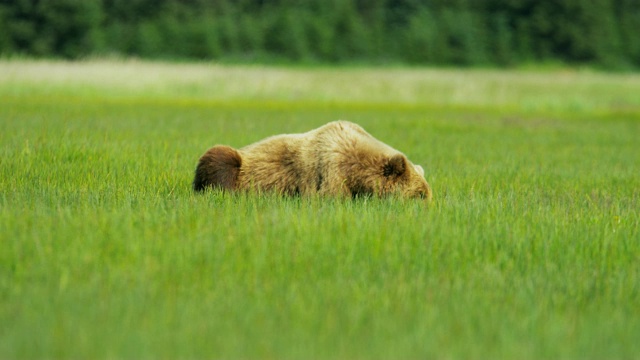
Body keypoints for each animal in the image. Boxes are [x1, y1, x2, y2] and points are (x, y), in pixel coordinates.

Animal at [192, 120, 432, 200]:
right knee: (220, 159)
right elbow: (330, 197)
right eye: (419, 195)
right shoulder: (331, 168)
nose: (428, 206)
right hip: (239, 162)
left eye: (427, 195)